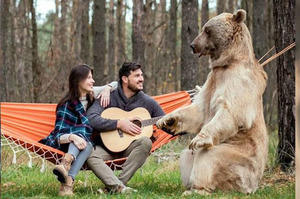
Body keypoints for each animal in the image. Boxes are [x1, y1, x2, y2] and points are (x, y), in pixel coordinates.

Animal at [156, 8, 268, 194]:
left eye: (207, 30)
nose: (192, 45)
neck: (227, 62)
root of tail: (253, 185)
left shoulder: (238, 79)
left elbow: (231, 111)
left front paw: (197, 139)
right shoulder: (212, 80)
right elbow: (199, 110)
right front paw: (166, 119)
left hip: (241, 159)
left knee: (209, 157)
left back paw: (197, 188)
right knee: (185, 157)